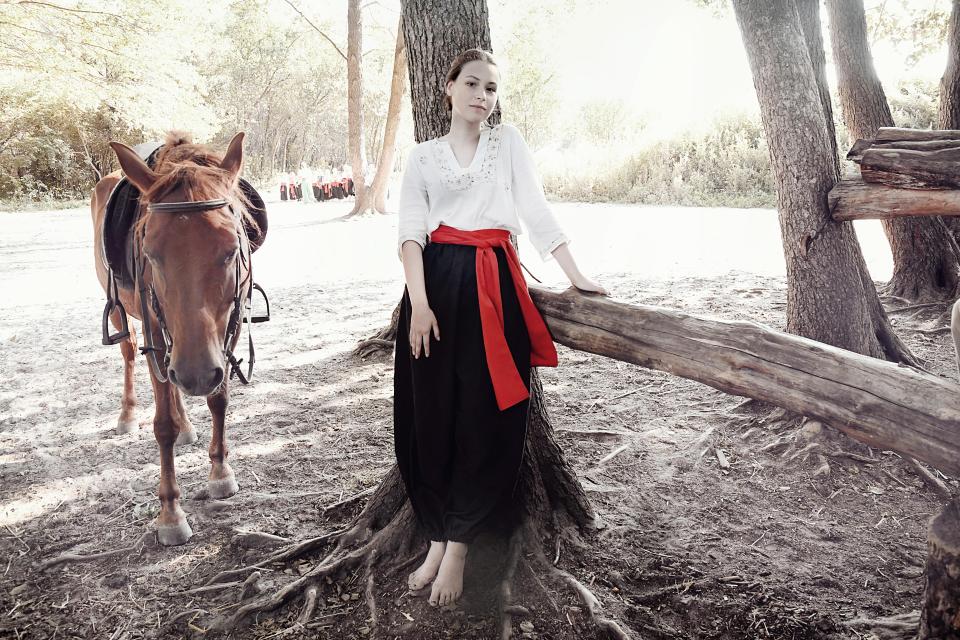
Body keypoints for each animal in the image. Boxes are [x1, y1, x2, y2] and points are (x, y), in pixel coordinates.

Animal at [91, 131, 256, 544]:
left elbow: (219, 400)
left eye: (232, 249)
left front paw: (220, 472)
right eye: (150, 252)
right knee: (131, 355)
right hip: (122, 312)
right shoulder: (160, 334)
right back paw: (129, 414)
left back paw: (186, 422)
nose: (195, 374)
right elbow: (162, 424)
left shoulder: (228, 328)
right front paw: (169, 512)